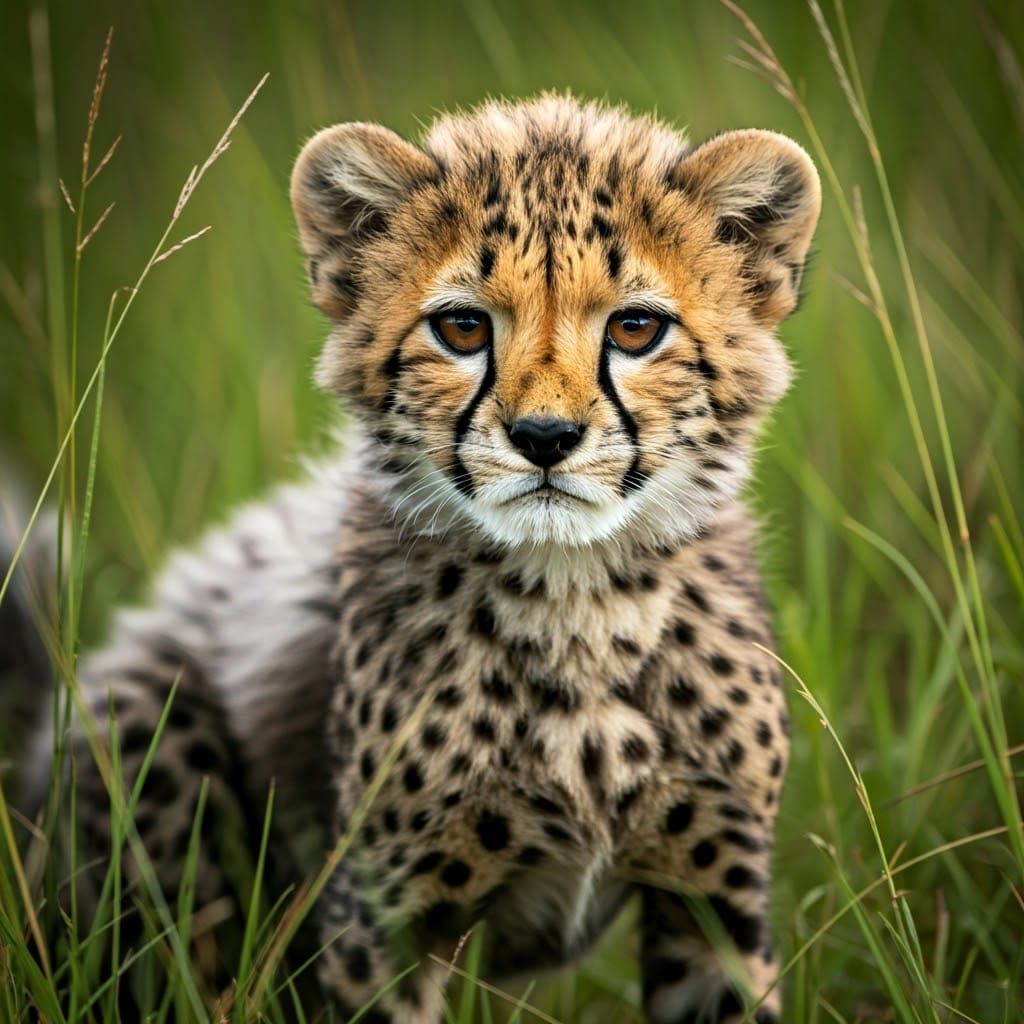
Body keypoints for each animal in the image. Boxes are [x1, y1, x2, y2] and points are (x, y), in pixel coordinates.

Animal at [7, 95, 820, 1022]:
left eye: (636, 327)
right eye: (462, 327)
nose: (545, 437)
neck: (576, 605)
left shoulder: (711, 906)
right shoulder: (386, 923)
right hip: (146, 719)